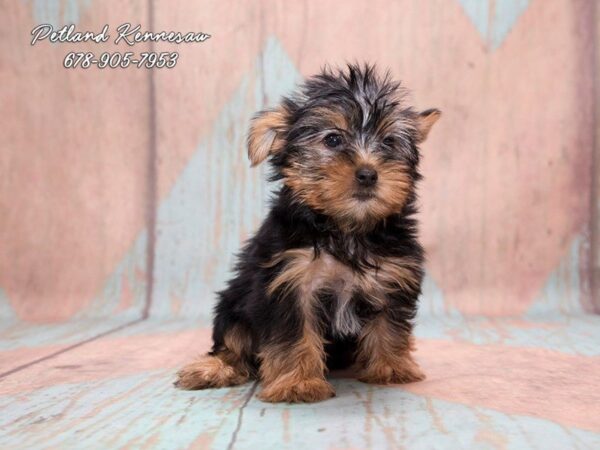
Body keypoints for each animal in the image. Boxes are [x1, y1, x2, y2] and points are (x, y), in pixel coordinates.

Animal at [176, 64, 438, 404]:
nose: (369, 174)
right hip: (232, 305)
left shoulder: (391, 279)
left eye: (389, 142)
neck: (346, 228)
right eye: (333, 139)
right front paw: (298, 383)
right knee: (233, 343)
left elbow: (388, 325)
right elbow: (293, 335)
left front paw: (391, 367)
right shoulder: (290, 283)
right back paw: (213, 369)